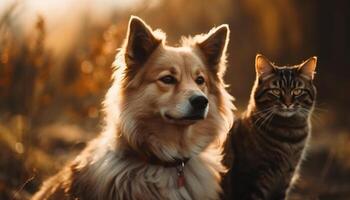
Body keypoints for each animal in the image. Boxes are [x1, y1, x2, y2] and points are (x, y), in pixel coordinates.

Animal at [223, 54, 318, 200]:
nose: (288, 104)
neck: (289, 132)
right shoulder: (251, 179)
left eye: (297, 91)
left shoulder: (285, 179)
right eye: (276, 91)